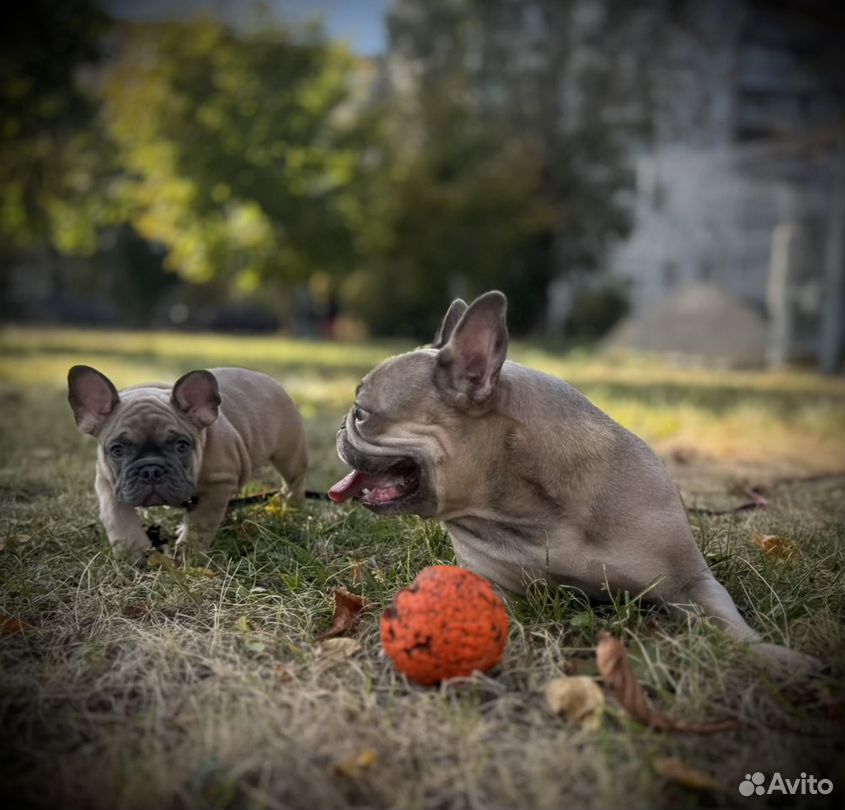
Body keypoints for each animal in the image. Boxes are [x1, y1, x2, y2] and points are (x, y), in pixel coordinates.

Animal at [68, 364, 306, 560]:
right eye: (117, 450)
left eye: (181, 446)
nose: (151, 470)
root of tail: (268, 380)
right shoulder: (109, 484)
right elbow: (118, 519)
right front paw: (134, 553)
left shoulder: (217, 486)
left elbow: (201, 524)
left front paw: (188, 554)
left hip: (289, 453)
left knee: (294, 480)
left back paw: (291, 507)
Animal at [330, 290, 816, 668]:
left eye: (362, 412)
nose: (340, 426)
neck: (528, 509)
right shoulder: (496, 586)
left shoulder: (691, 583)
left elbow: (729, 622)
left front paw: (777, 657)